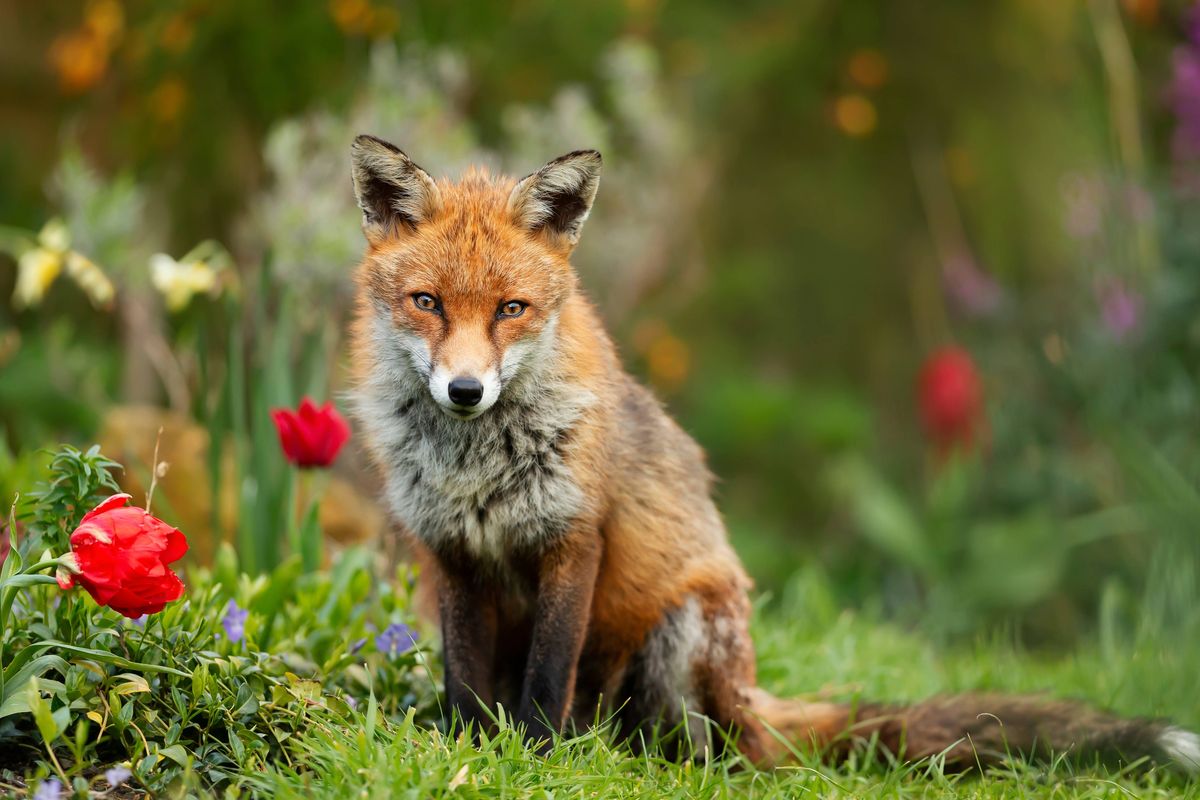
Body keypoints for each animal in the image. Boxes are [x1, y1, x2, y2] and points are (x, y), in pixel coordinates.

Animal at [346, 133, 1200, 774]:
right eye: (427, 303)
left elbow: (545, 680)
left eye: (510, 310)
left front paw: (535, 759)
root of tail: (752, 696)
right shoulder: (454, 554)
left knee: (718, 748)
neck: (475, 466)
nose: (465, 390)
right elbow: (466, 682)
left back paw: (642, 759)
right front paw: (467, 753)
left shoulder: (575, 541)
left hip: (684, 629)